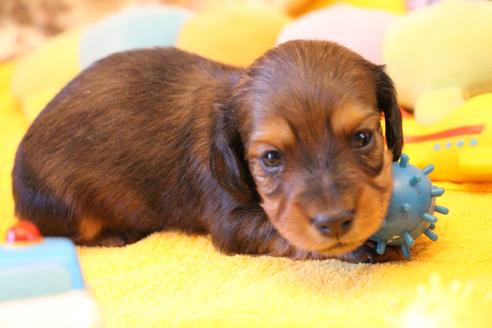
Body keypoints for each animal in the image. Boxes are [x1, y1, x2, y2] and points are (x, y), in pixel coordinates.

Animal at [12, 40, 404, 262]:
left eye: (363, 138)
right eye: (271, 158)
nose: (334, 221)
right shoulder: (231, 219)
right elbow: (280, 232)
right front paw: (360, 246)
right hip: (66, 207)